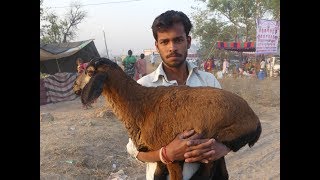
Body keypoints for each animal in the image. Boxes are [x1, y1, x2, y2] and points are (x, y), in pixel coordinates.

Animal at [81, 58, 262, 179]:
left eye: (89, 72)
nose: (76, 88)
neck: (142, 105)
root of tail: (255, 120)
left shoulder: (173, 160)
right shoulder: (160, 154)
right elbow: (158, 175)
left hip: (218, 140)